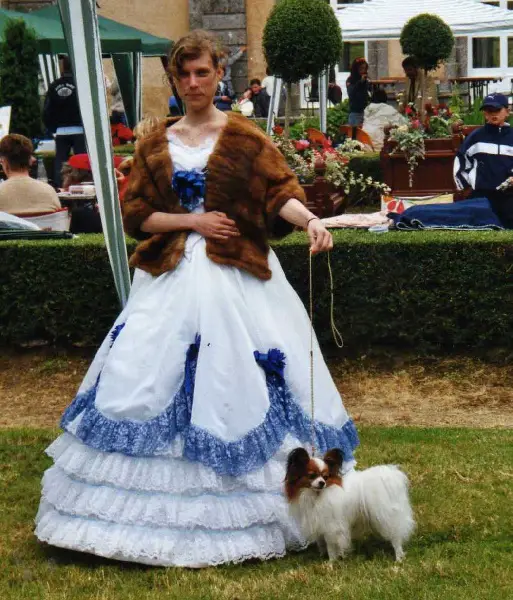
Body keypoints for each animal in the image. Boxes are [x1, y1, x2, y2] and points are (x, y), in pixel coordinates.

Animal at [286, 446, 414, 564]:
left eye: (326, 477)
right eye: (312, 475)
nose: (322, 483)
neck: (316, 496)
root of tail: (390, 475)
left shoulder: (331, 526)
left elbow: (330, 546)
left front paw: (331, 563)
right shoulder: (319, 523)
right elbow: (322, 543)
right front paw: (324, 556)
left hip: (386, 516)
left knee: (396, 536)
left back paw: (398, 558)